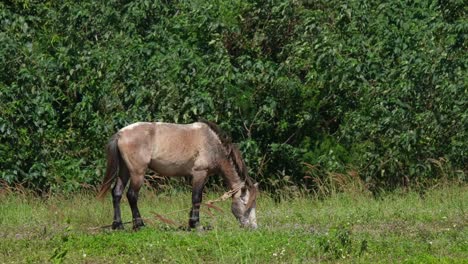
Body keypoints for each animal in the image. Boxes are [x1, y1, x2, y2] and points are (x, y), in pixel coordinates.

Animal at [96, 119, 258, 229]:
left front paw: (191, 223)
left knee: (117, 193)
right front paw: (196, 224)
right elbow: (197, 198)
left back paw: (118, 225)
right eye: (246, 204)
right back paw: (139, 225)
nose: (254, 227)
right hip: (137, 173)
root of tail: (121, 133)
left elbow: (196, 199)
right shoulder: (199, 174)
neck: (212, 143)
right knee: (131, 195)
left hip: (124, 171)